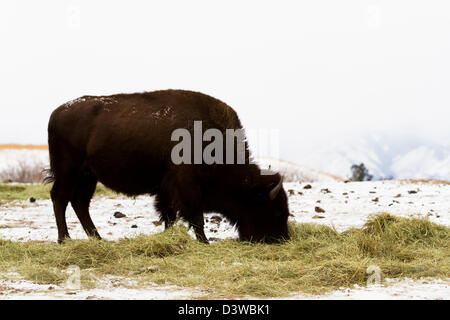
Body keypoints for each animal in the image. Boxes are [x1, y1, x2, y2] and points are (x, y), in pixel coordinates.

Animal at [47, 89, 290, 244]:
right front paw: (204, 242)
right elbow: (195, 217)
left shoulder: (167, 190)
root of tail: (56, 113)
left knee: (80, 203)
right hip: (69, 171)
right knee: (60, 198)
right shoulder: (187, 188)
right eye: (276, 210)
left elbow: (169, 215)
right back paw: (64, 239)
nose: (282, 240)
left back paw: (97, 238)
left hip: (88, 176)